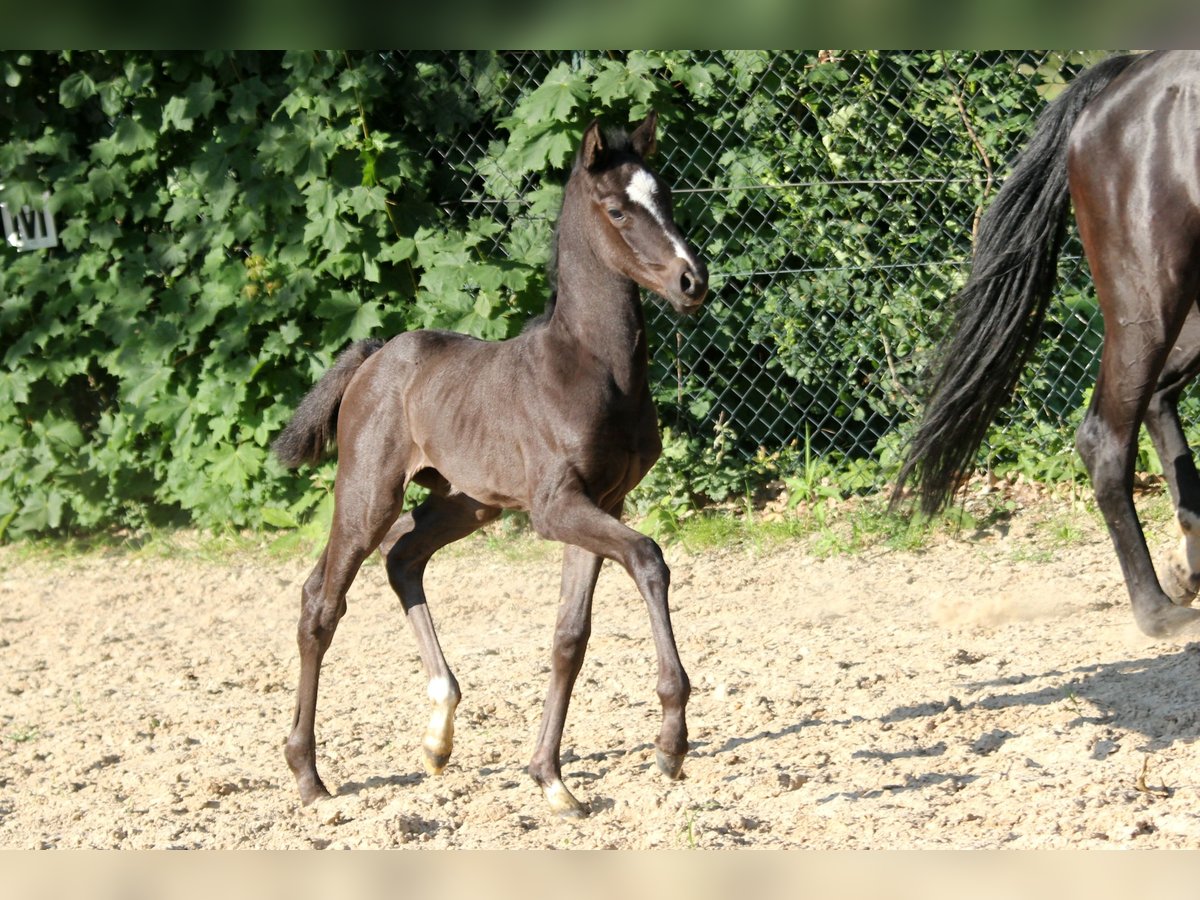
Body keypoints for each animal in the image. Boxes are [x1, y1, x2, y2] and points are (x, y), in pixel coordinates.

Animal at [274, 111, 700, 816]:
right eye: (617, 209)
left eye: (664, 197)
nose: (694, 281)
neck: (592, 368)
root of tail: (373, 355)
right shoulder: (556, 508)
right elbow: (649, 558)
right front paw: (670, 742)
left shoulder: (601, 503)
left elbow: (569, 637)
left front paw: (551, 779)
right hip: (368, 492)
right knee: (322, 602)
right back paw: (309, 776)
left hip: (464, 503)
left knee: (403, 557)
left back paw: (438, 735)